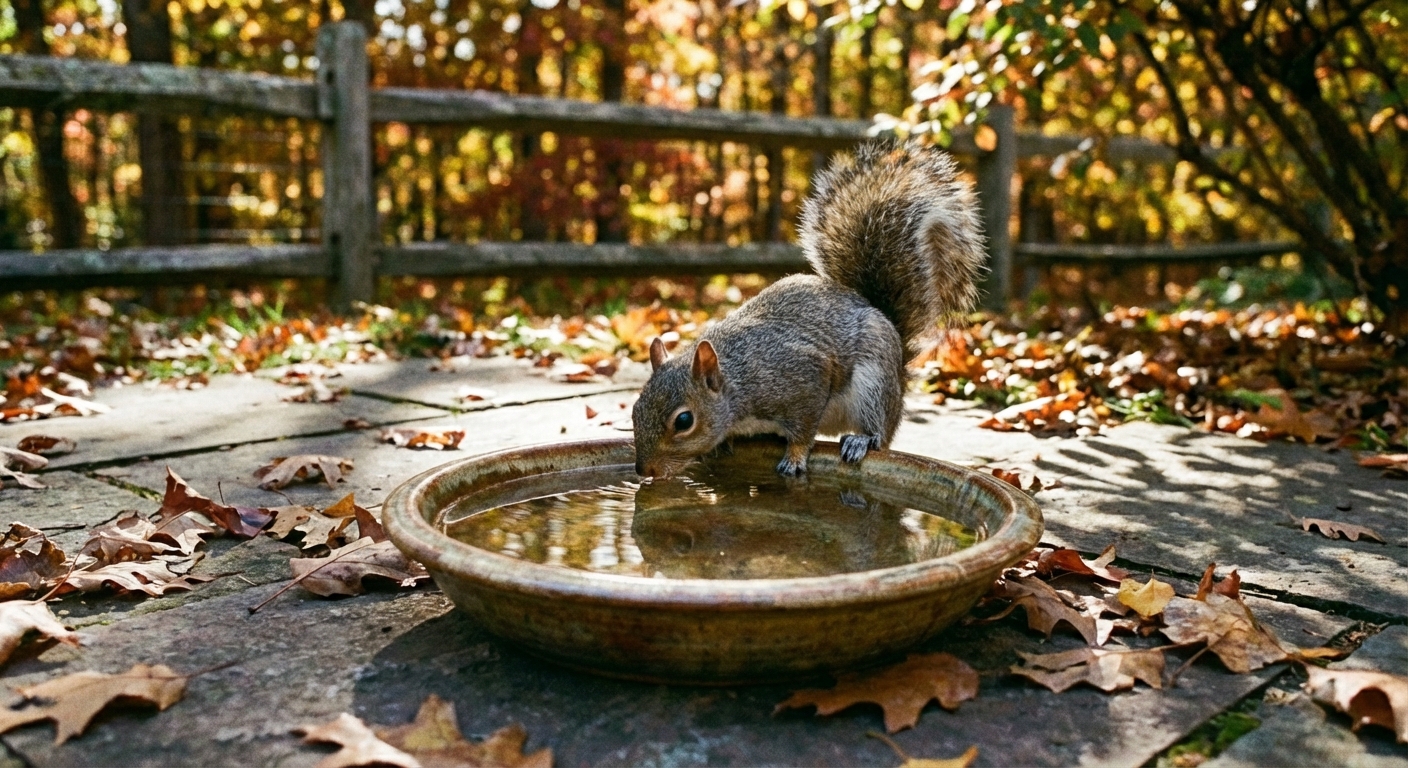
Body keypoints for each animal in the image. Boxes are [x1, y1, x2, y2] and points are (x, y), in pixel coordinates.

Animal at [632, 139, 986, 479]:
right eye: (635, 409)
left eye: (684, 421)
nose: (644, 471)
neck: (738, 380)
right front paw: (722, 444)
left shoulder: (804, 379)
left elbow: (803, 430)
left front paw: (794, 458)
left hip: (875, 382)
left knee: (879, 432)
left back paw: (861, 440)